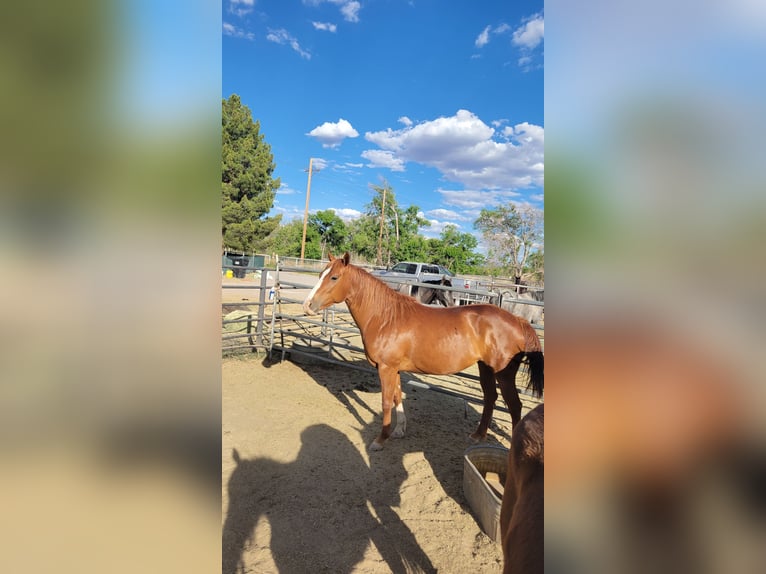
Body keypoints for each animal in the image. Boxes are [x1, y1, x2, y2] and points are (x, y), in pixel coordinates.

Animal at [302, 252, 544, 451]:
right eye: (321, 275)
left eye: (334, 278)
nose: (307, 305)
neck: (386, 317)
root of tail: (519, 320)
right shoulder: (394, 369)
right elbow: (397, 397)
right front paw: (399, 431)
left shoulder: (386, 369)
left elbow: (386, 402)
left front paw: (380, 440)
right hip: (485, 368)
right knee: (490, 398)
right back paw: (477, 435)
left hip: (504, 374)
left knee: (514, 406)